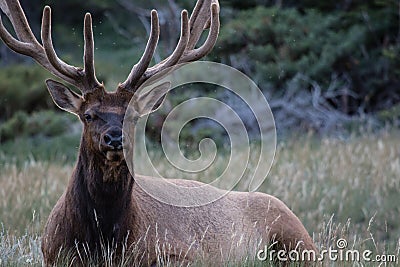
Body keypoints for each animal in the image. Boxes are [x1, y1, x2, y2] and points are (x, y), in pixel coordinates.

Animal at [0, 0, 318, 266]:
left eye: (134, 116)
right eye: (88, 115)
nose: (115, 138)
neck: (102, 243)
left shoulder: (182, 253)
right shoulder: (52, 254)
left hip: (298, 240)